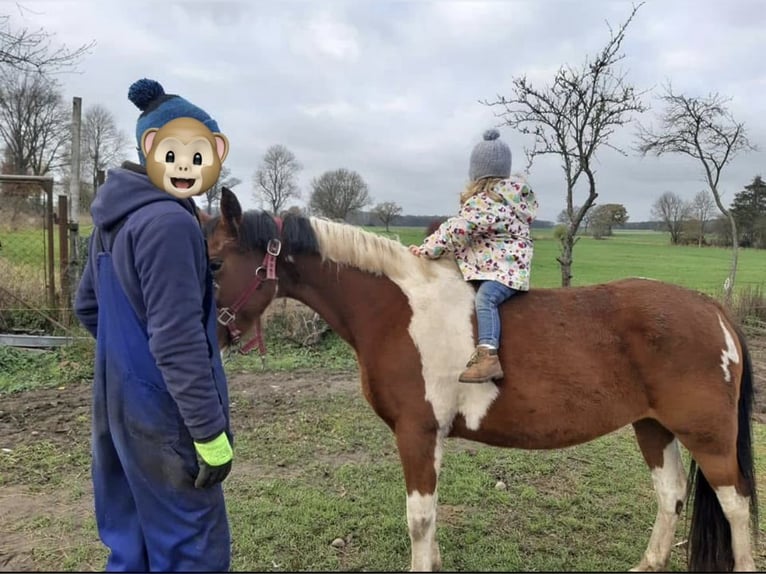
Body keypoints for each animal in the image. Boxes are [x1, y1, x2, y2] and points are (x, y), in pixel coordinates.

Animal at [203, 187, 758, 572]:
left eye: (213, 262)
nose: (210, 337)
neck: (396, 311)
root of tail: (713, 310)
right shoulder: (428, 437)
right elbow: (428, 519)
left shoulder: (417, 432)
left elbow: (419, 518)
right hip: (653, 426)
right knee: (671, 494)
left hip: (707, 436)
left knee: (735, 506)